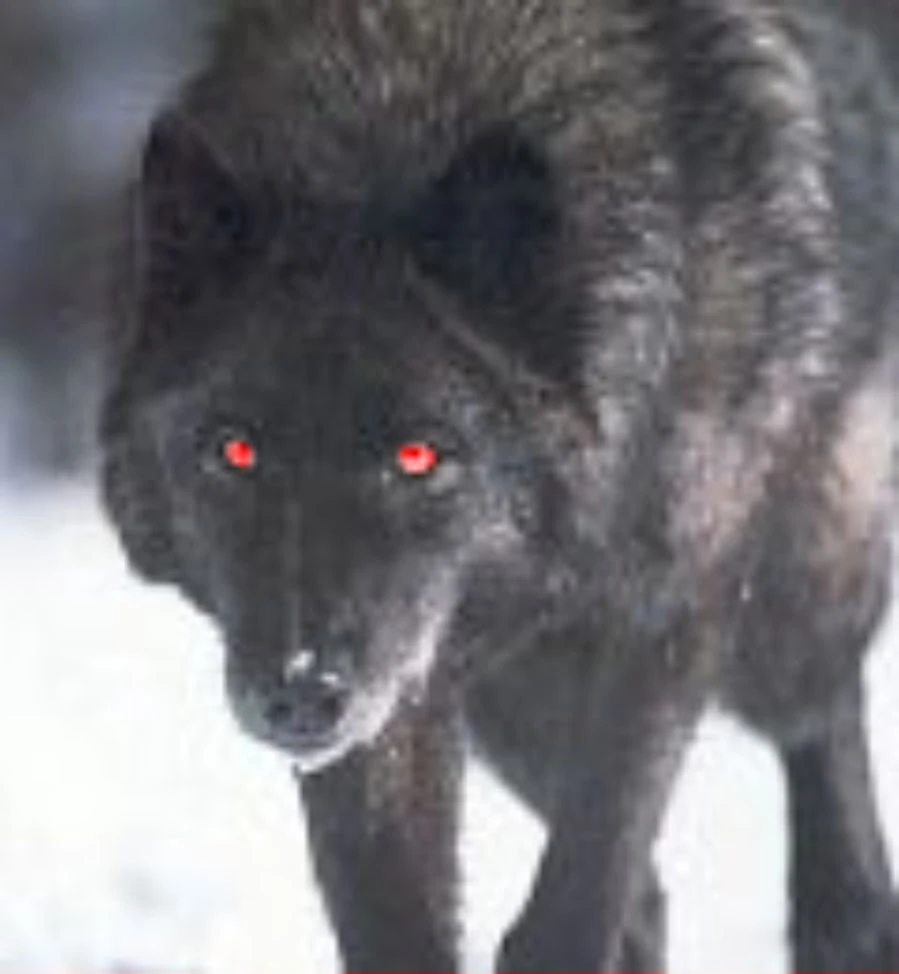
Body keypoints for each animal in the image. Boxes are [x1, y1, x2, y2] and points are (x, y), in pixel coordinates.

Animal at [100, 0, 898, 969]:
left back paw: (848, 921)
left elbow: (585, 882)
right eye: (234, 452)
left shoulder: (665, 617)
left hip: (789, 608)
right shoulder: (394, 695)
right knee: (651, 895)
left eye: (419, 456)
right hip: (510, 707)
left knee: (818, 711)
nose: (301, 688)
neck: (407, 105)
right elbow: (394, 919)